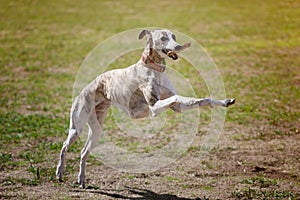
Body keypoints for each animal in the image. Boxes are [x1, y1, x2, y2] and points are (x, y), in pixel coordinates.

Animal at [56, 28, 234, 188]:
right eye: (163, 38)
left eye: (174, 36)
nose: (178, 46)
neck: (154, 69)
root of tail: (85, 88)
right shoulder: (154, 107)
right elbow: (177, 97)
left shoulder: (177, 107)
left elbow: (199, 100)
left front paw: (224, 102)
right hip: (76, 128)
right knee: (64, 146)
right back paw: (59, 172)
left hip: (97, 130)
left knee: (83, 152)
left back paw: (82, 180)